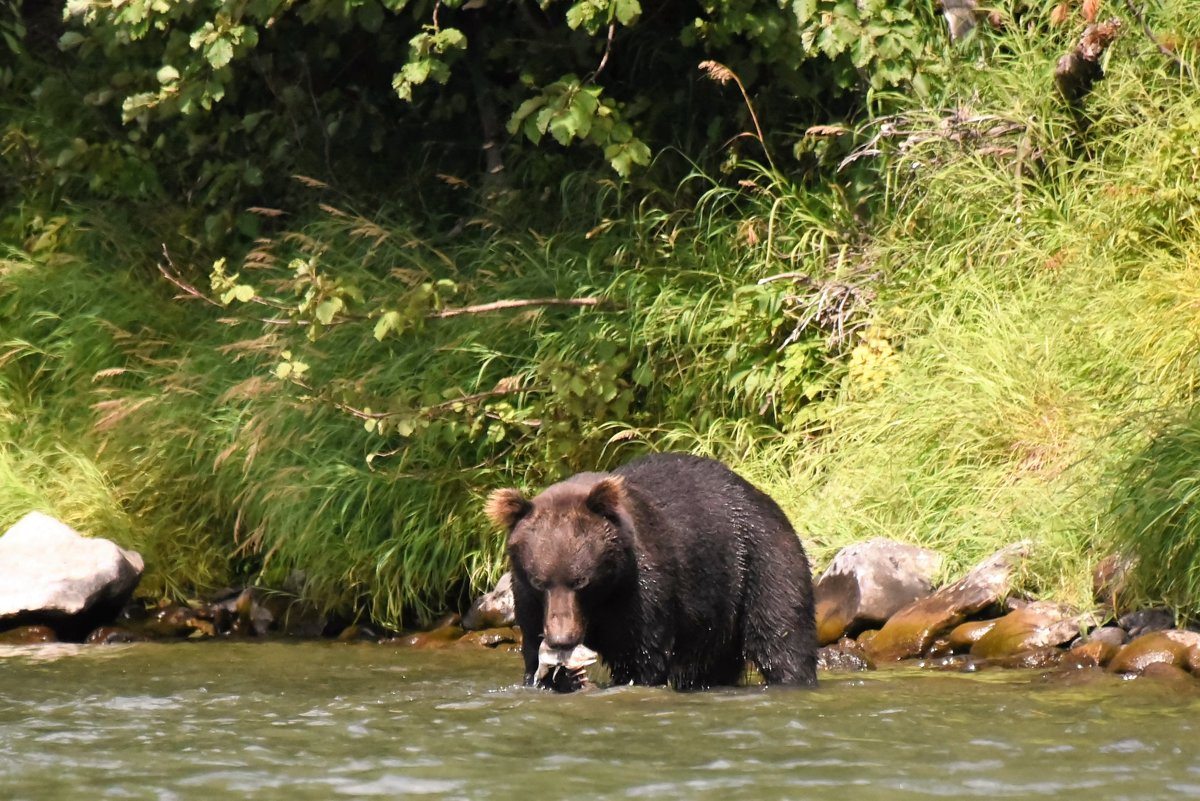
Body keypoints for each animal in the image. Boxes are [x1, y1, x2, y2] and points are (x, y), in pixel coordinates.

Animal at [484, 450, 816, 690]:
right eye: (540, 582)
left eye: (581, 581)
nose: (561, 639)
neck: (604, 596)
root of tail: (763, 497)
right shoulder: (527, 601)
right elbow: (531, 656)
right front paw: (563, 674)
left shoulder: (641, 589)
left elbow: (641, 657)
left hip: (761, 560)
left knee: (782, 637)